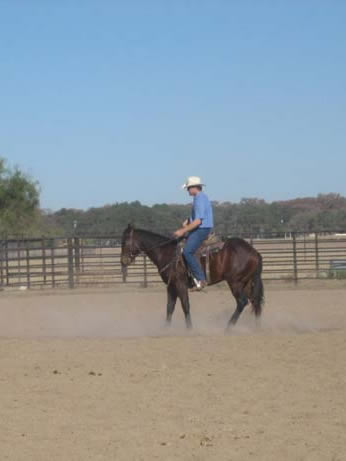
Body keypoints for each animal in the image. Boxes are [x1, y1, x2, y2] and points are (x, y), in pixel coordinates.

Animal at [120, 224, 264, 328]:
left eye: (125, 241)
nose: (123, 261)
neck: (167, 253)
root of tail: (254, 252)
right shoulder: (171, 286)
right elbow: (170, 307)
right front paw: (165, 329)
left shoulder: (180, 284)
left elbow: (185, 305)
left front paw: (189, 329)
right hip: (246, 282)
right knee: (254, 302)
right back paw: (256, 327)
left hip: (235, 282)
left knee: (242, 302)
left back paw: (228, 328)